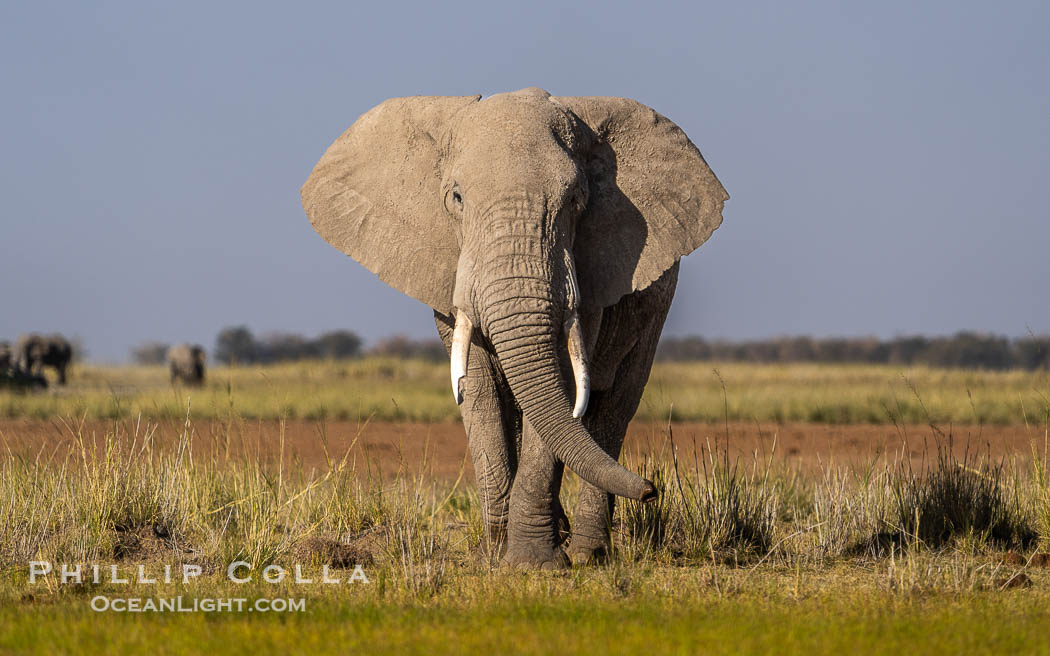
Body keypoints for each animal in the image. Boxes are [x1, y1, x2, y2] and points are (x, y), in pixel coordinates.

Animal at [302, 87, 730, 566]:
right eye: (456, 198)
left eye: (576, 199)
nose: (652, 489)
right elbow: (479, 388)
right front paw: (497, 555)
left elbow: (564, 382)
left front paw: (534, 563)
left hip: (657, 305)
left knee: (614, 405)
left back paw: (588, 553)